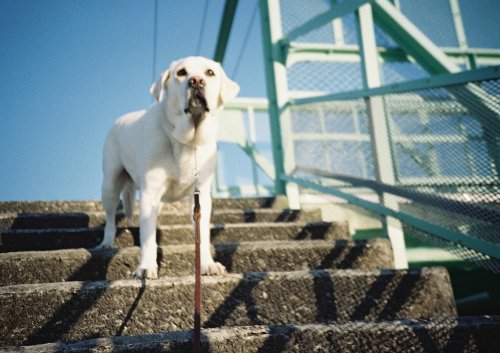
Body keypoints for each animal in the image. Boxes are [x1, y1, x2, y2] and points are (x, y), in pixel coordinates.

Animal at [97, 57, 240, 278]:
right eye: (181, 72)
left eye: (210, 72)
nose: (196, 81)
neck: (186, 141)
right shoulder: (150, 194)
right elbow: (147, 237)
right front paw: (145, 267)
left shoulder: (201, 196)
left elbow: (202, 235)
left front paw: (207, 264)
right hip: (110, 183)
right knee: (111, 216)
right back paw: (106, 242)